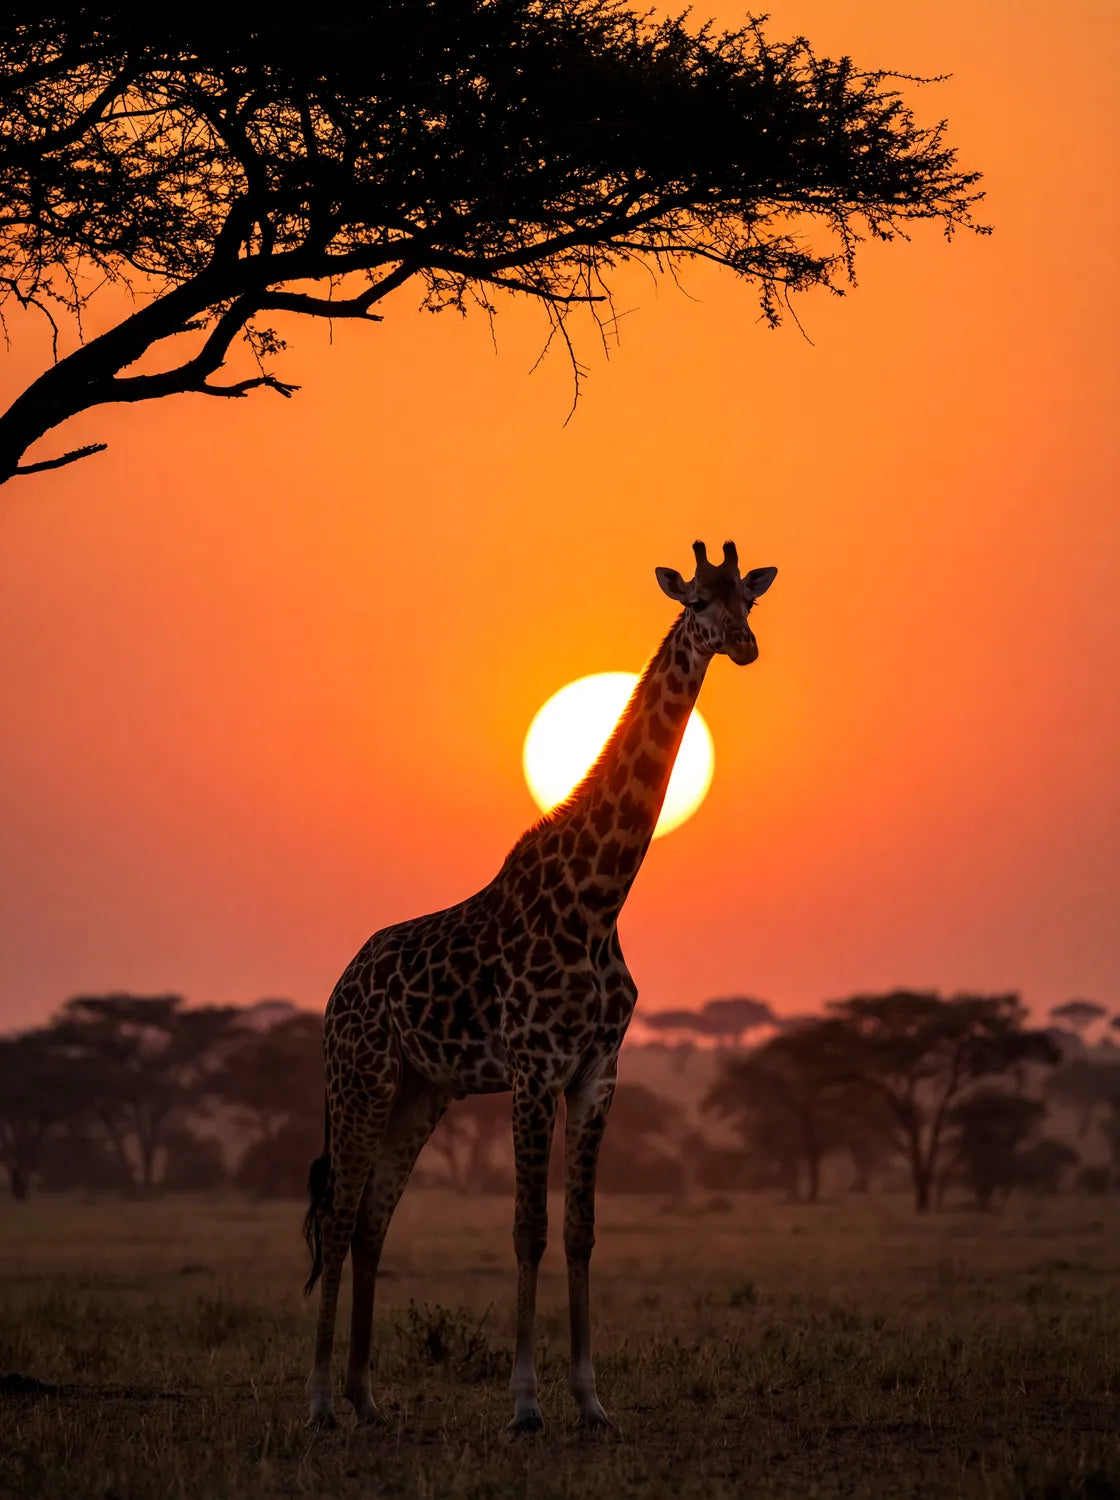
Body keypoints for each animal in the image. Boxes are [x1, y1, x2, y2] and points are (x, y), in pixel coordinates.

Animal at [302, 539, 778, 1432]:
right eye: (697, 601)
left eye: (750, 601)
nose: (744, 646)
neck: (599, 900)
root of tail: (337, 992)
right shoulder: (531, 1069)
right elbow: (527, 1228)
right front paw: (524, 1403)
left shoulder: (596, 1073)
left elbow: (581, 1230)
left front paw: (591, 1400)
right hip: (362, 1080)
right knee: (342, 1215)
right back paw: (318, 1403)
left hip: (422, 1090)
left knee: (373, 1221)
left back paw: (366, 1398)